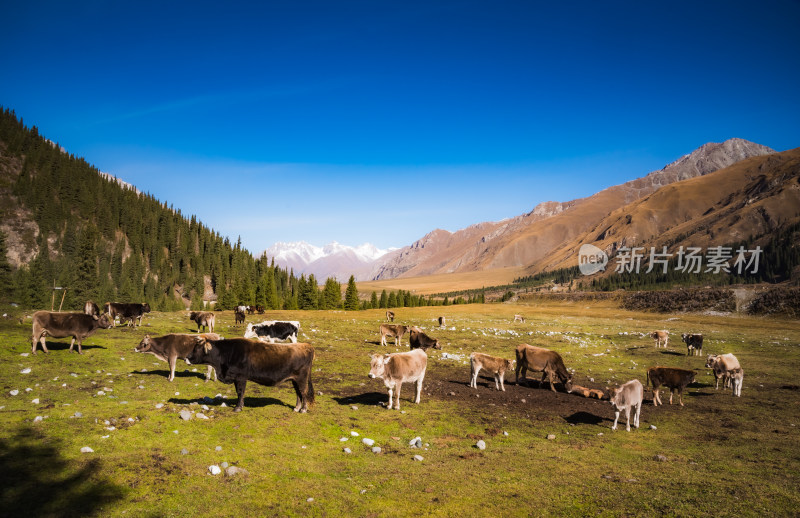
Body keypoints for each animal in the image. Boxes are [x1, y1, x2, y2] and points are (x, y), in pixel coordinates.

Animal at [186, 338, 314, 414]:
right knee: (298, 393)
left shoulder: (240, 377)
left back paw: (303, 409)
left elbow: (240, 392)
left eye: (197, 348)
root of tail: (306, 345)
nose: (187, 357)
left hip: (302, 378)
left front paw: (238, 407)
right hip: (294, 379)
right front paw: (240, 405)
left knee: (303, 392)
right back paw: (296, 408)